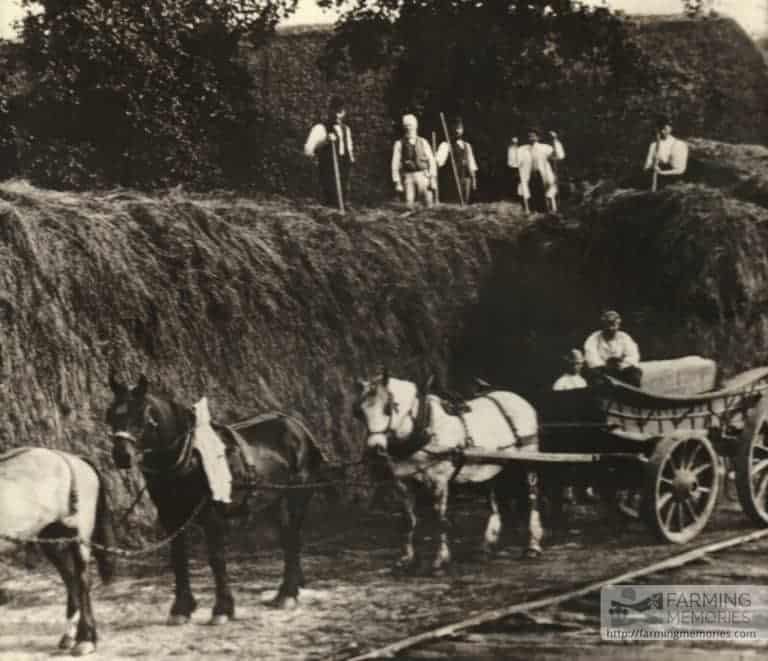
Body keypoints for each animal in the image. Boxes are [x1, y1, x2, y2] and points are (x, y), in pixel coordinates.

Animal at [0, 446, 115, 652]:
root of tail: (76, 459)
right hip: (51, 539)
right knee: (71, 580)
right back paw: (69, 636)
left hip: (80, 537)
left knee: (83, 581)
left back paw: (86, 639)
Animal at [106, 374, 334, 620]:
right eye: (111, 415)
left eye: (142, 416)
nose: (121, 455)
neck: (189, 457)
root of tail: (296, 425)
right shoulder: (171, 516)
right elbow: (178, 558)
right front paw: (181, 608)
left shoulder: (211, 514)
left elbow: (216, 558)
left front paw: (223, 609)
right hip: (275, 500)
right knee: (288, 537)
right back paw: (291, 588)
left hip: (297, 495)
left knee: (292, 537)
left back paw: (287, 594)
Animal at [356, 372, 544, 572]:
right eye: (360, 412)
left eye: (388, 408)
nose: (374, 449)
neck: (425, 429)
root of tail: (519, 399)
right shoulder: (403, 481)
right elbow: (408, 520)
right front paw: (407, 559)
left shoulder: (439, 481)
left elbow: (441, 520)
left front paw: (440, 561)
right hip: (488, 467)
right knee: (493, 504)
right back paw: (485, 548)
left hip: (528, 461)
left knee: (532, 500)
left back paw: (533, 546)